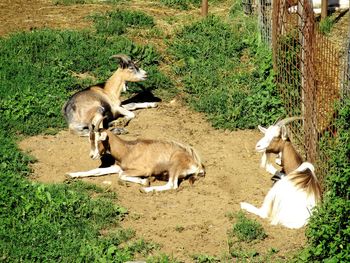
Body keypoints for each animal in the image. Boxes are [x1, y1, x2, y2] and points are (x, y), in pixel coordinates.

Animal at [65, 117, 205, 192]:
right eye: (90, 139)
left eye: (100, 139)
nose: (92, 155)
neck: (128, 150)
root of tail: (196, 164)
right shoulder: (118, 167)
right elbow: (95, 171)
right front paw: (70, 174)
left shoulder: (144, 170)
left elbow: (121, 176)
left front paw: (145, 182)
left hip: (174, 166)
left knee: (172, 185)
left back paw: (145, 190)